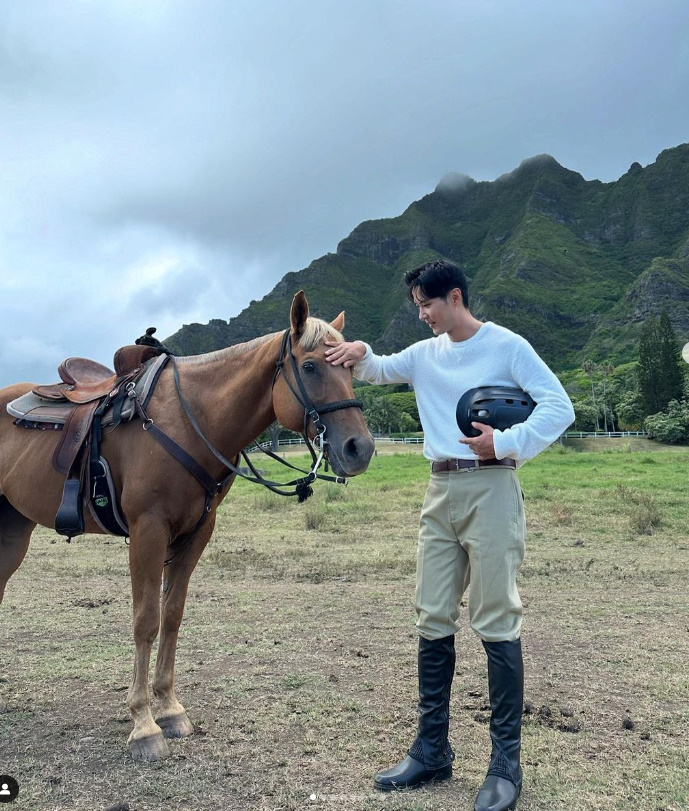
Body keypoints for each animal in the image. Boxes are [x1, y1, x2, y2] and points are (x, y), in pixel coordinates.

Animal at [0, 291, 374, 762]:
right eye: (309, 367)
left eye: (350, 368)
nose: (360, 448)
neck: (188, 418)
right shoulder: (148, 531)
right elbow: (146, 620)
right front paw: (144, 725)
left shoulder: (196, 534)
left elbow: (172, 616)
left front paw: (169, 709)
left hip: (14, 527)